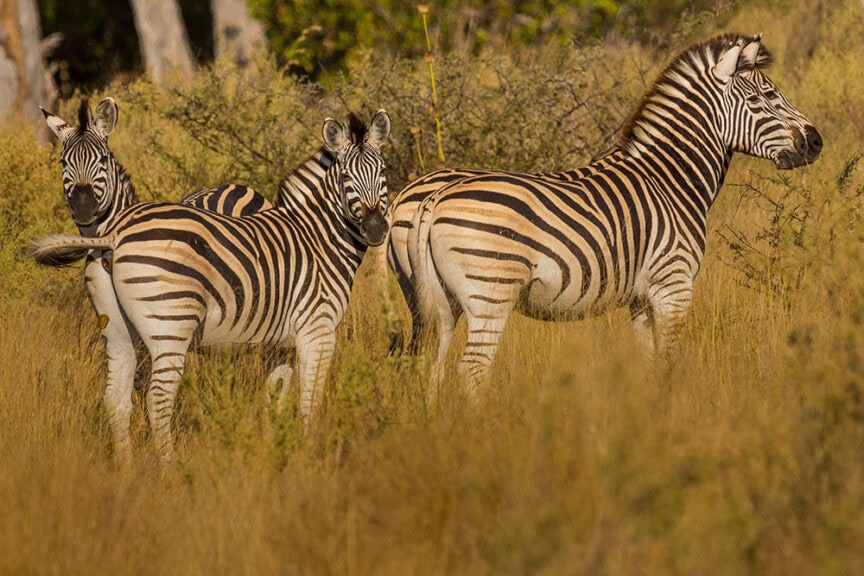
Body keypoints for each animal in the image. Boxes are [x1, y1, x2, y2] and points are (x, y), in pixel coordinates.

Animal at [32, 110, 391, 462]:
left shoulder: (281, 344)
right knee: (157, 400)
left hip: (117, 331)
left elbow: (275, 397)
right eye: (346, 178)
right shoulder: (318, 331)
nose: (376, 229)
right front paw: (309, 452)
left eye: (384, 171)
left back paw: (126, 469)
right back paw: (170, 470)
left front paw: (276, 449)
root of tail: (114, 233)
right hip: (170, 324)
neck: (317, 236)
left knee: (115, 399)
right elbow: (309, 401)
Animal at [403, 33, 821, 392]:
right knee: (472, 369)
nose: (816, 142)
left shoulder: (641, 297)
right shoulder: (674, 285)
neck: (668, 178)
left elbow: (651, 361)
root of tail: (435, 198)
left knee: (432, 366)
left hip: (441, 303)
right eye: (764, 98)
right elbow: (669, 362)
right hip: (490, 292)